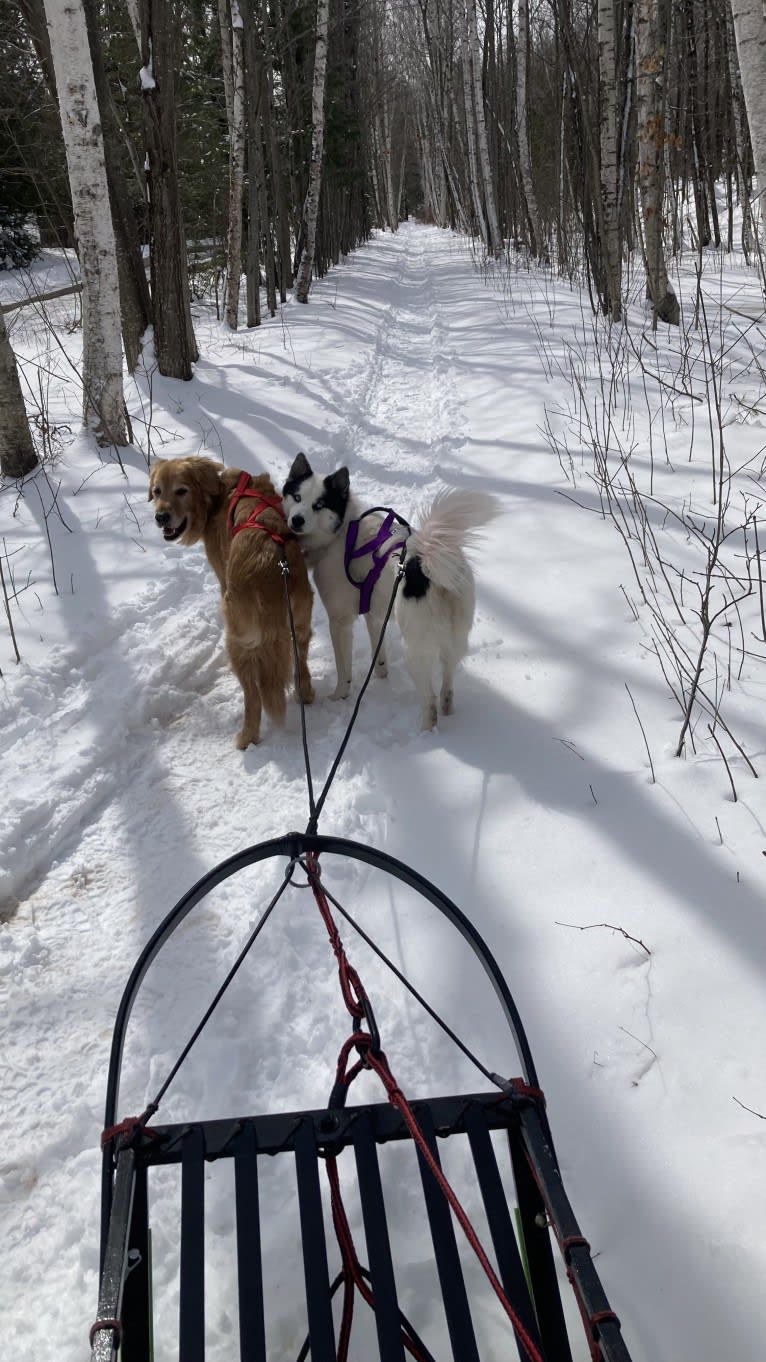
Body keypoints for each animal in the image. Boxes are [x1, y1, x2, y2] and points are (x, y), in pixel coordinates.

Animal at [280, 452, 496, 730]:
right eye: (297, 497)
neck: (342, 534)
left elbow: (343, 669)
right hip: (453, 639)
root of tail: (426, 563)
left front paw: (340, 695)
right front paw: (381, 674)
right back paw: (447, 709)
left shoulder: (340, 622)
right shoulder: (375, 613)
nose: (296, 519)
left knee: (429, 700)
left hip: (415, 648)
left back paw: (426, 731)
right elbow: (378, 650)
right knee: (447, 685)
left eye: (319, 505)